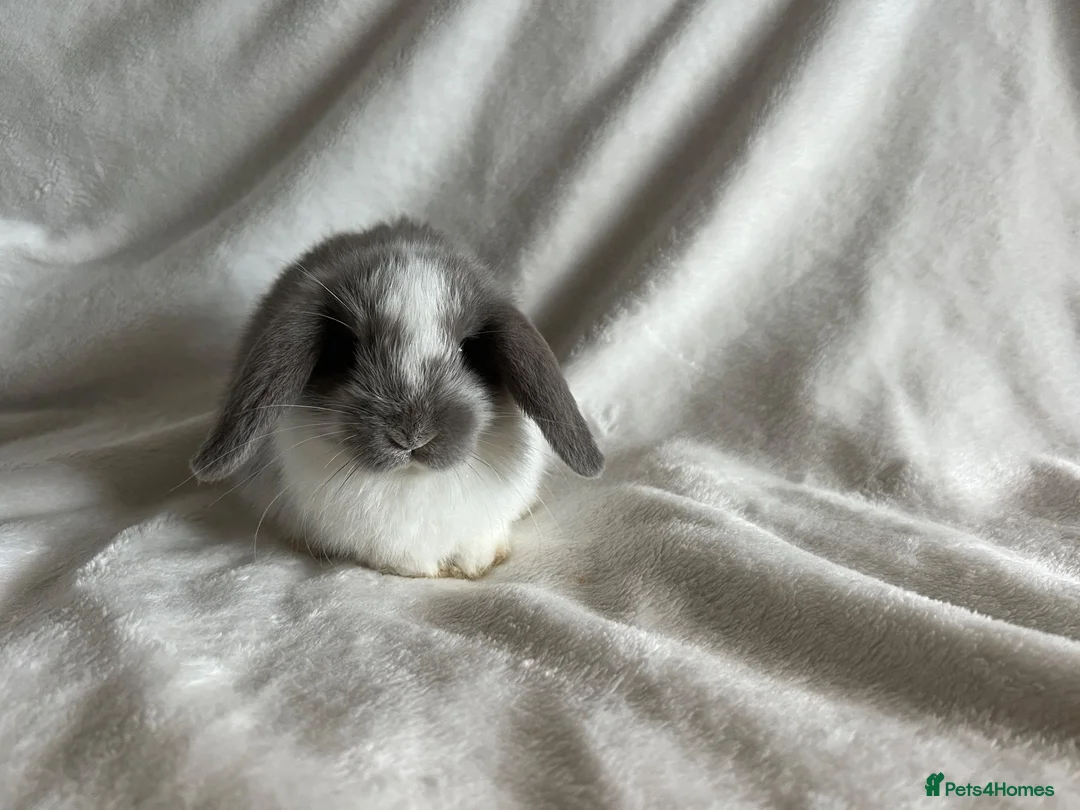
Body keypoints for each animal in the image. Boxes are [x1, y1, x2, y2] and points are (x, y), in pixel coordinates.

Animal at [189, 219, 604, 578]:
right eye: (344, 350)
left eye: (468, 350)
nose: (412, 435)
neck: (412, 481)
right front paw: (420, 568)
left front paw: (475, 562)